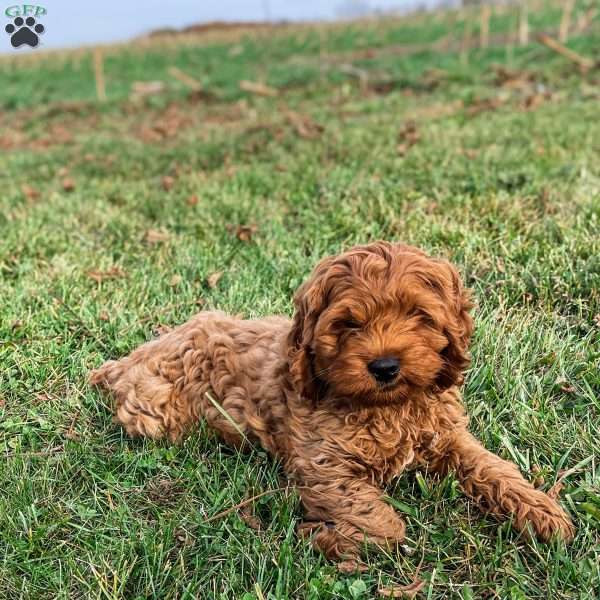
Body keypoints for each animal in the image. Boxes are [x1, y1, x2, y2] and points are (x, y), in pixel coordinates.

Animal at [91, 243, 576, 556]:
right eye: (348, 324)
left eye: (418, 315)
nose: (385, 367)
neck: (386, 406)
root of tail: (125, 360)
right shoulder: (323, 464)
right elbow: (386, 525)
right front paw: (324, 537)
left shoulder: (447, 435)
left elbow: (492, 467)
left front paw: (541, 511)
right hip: (156, 412)